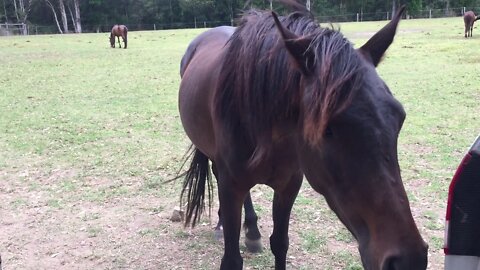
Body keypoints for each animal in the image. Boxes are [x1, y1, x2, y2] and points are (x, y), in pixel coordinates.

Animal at [176, 2, 428, 270]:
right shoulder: (231, 184)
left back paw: (252, 232)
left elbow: (280, 243)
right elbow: (232, 258)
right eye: (327, 130)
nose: (408, 260)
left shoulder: (289, 185)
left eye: (400, 117)